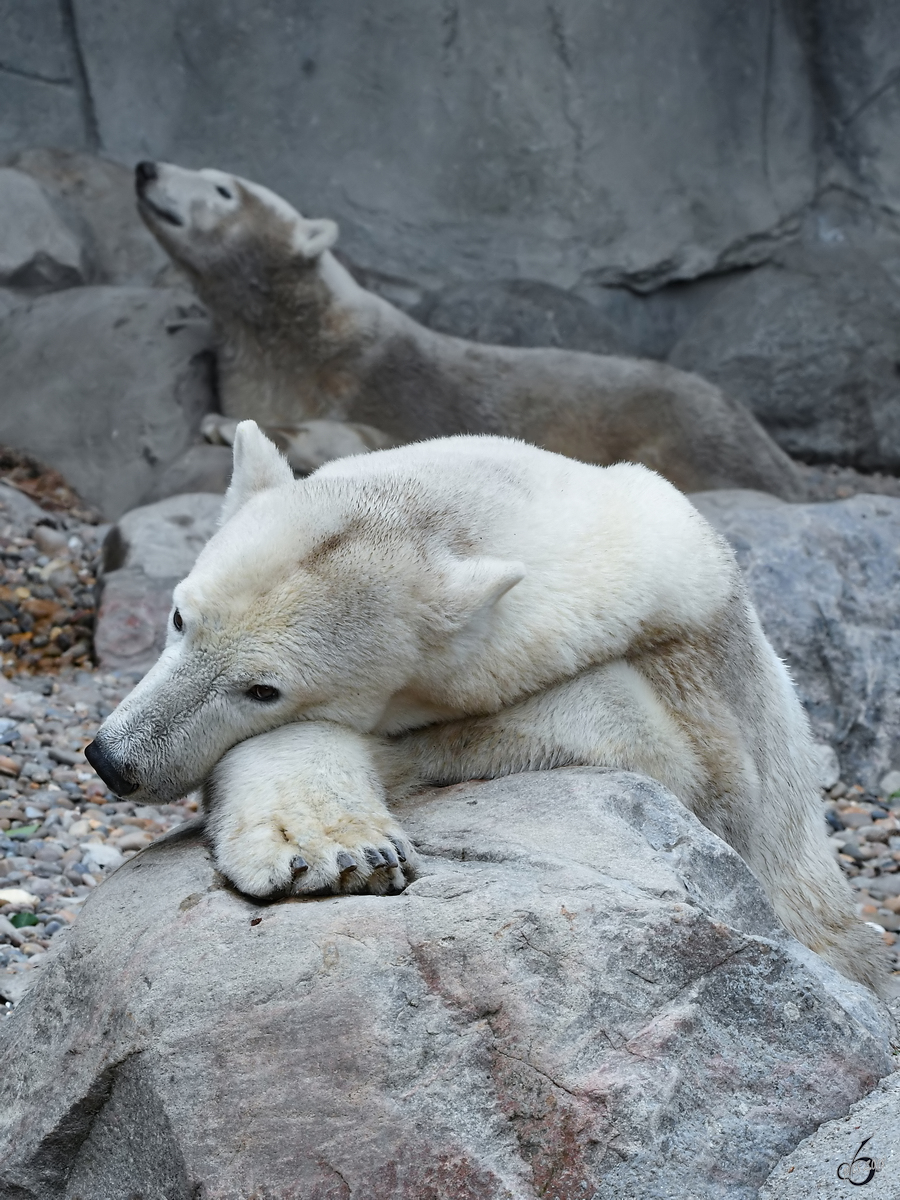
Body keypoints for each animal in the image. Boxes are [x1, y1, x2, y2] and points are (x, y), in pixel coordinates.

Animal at [88, 422, 892, 993]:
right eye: (179, 617)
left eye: (263, 689)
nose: (114, 761)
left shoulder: (706, 704)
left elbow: (644, 739)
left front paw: (330, 843)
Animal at [132, 159, 801, 496]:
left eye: (222, 188)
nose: (144, 167)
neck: (303, 338)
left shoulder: (384, 386)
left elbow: (363, 440)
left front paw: (227, 426)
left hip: (686, 431)